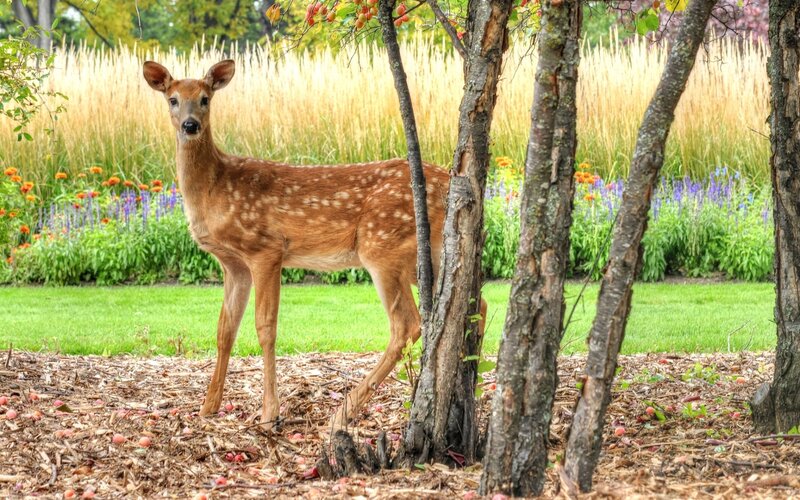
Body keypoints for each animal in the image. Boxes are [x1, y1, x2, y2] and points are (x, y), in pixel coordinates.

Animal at [142, 59, 488, 430]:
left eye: (205, 99)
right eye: (173, 99)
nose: (190, 125)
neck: (214, 190)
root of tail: (450, 187)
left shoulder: (266, 249)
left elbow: (265, 328)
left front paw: (269, 413)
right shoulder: (233, 265)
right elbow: (224, 330)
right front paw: (208, 408)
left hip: (382, 246)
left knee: (407, 324)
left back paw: (343, 413)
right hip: (426, 253)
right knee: (475, 302)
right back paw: (473, 390)